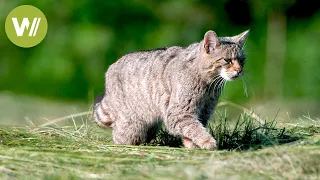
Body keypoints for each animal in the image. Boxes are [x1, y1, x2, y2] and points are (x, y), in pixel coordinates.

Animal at [94, 30, 249, 150]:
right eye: (227, 60)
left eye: (242, 60)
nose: (239, 70)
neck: (208, 84)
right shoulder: (180, 112)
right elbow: (195, 128)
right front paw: (206, 141)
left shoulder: (204, 111)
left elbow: (193, 128)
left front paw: (192, 145)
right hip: (132, 126)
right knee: (120, 136)